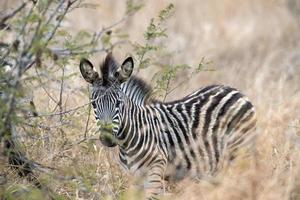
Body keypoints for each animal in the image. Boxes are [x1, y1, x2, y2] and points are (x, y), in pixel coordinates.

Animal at [79, 53, 258, 198]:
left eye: (118, 103)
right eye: (93, 104)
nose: (107, 139)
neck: (129, 141)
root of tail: (235, 91)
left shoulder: (155, 174)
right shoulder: (133, 178)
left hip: (239, 151)